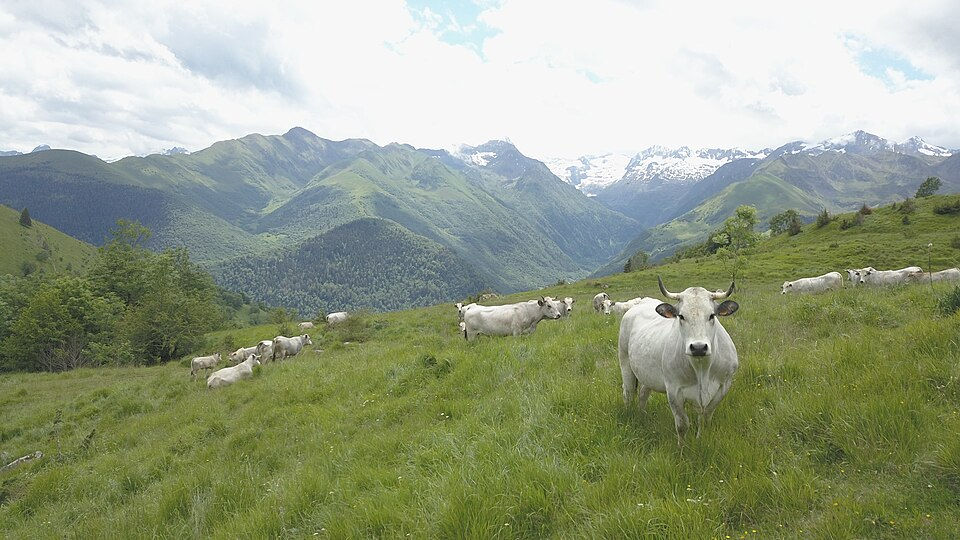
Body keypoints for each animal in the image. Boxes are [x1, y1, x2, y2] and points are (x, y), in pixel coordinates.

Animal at [619, 277, 740, 445]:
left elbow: (705, 418)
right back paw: (631, 417)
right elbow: (682, 425)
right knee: (628, 393)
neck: (702, 368)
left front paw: (700, 440)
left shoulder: (724, 386)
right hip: (625, 362)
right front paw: (681, 448)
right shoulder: (674, 390)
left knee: (643, 394)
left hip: (647, 375)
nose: (698, 347)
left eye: (712, 315)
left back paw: (642, 415)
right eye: (681, 316)